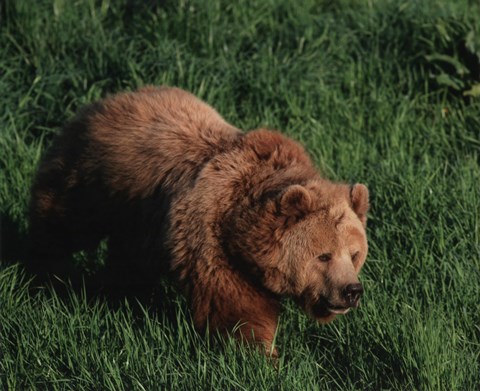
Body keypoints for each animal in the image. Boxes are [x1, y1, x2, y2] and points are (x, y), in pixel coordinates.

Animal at [28, 86, 370, 356]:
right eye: (323, 255)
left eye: (354, 254)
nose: (351, 290)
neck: (240, 226)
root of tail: (111, 97)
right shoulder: (209, 233)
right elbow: (236, 304)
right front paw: (260, 354)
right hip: (92, 180)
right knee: (61, 222)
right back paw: (46, 269)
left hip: (137, 216)